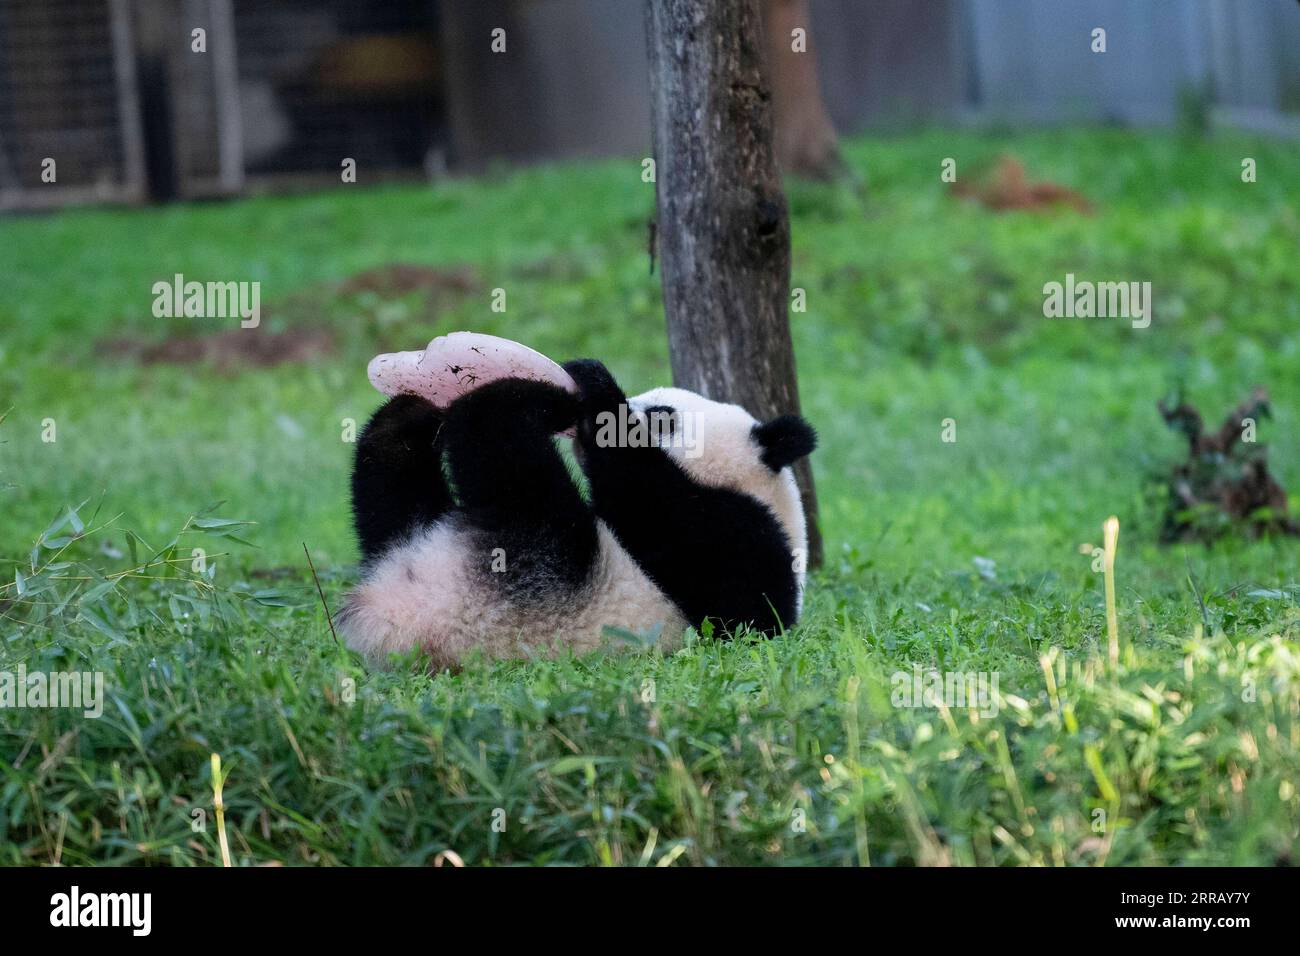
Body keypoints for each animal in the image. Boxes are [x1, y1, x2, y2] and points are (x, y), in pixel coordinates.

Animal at [338, 358, 816, 669]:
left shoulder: (740, 541)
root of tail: (392, 622)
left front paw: (596, 391)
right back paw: (406, 417)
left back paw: (517, 400)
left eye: (663, 416)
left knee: (512, 466)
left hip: (537, 575)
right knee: (392, 497)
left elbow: (657, 504)